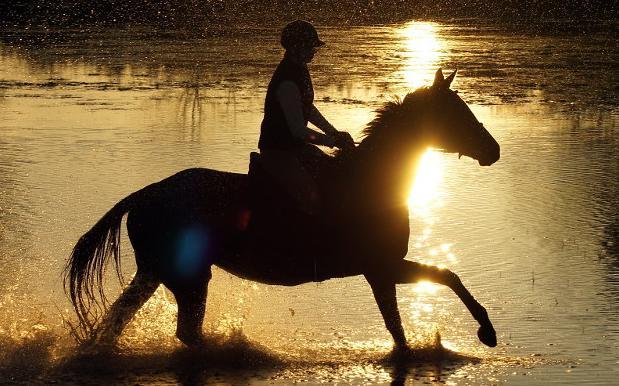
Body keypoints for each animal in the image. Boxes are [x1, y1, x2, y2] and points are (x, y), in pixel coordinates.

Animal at [64, 68, 498, 350]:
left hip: (155, 273)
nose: (493, 150)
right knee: (184, 332)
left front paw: (486, 332)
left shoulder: (385, 267)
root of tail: (144, 194)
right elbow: (407, 317)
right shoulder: (380, 268)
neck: (372, 182)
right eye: (456, 112)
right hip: (188, 276)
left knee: (117, 321)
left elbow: (444, 280)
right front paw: (485, 333)